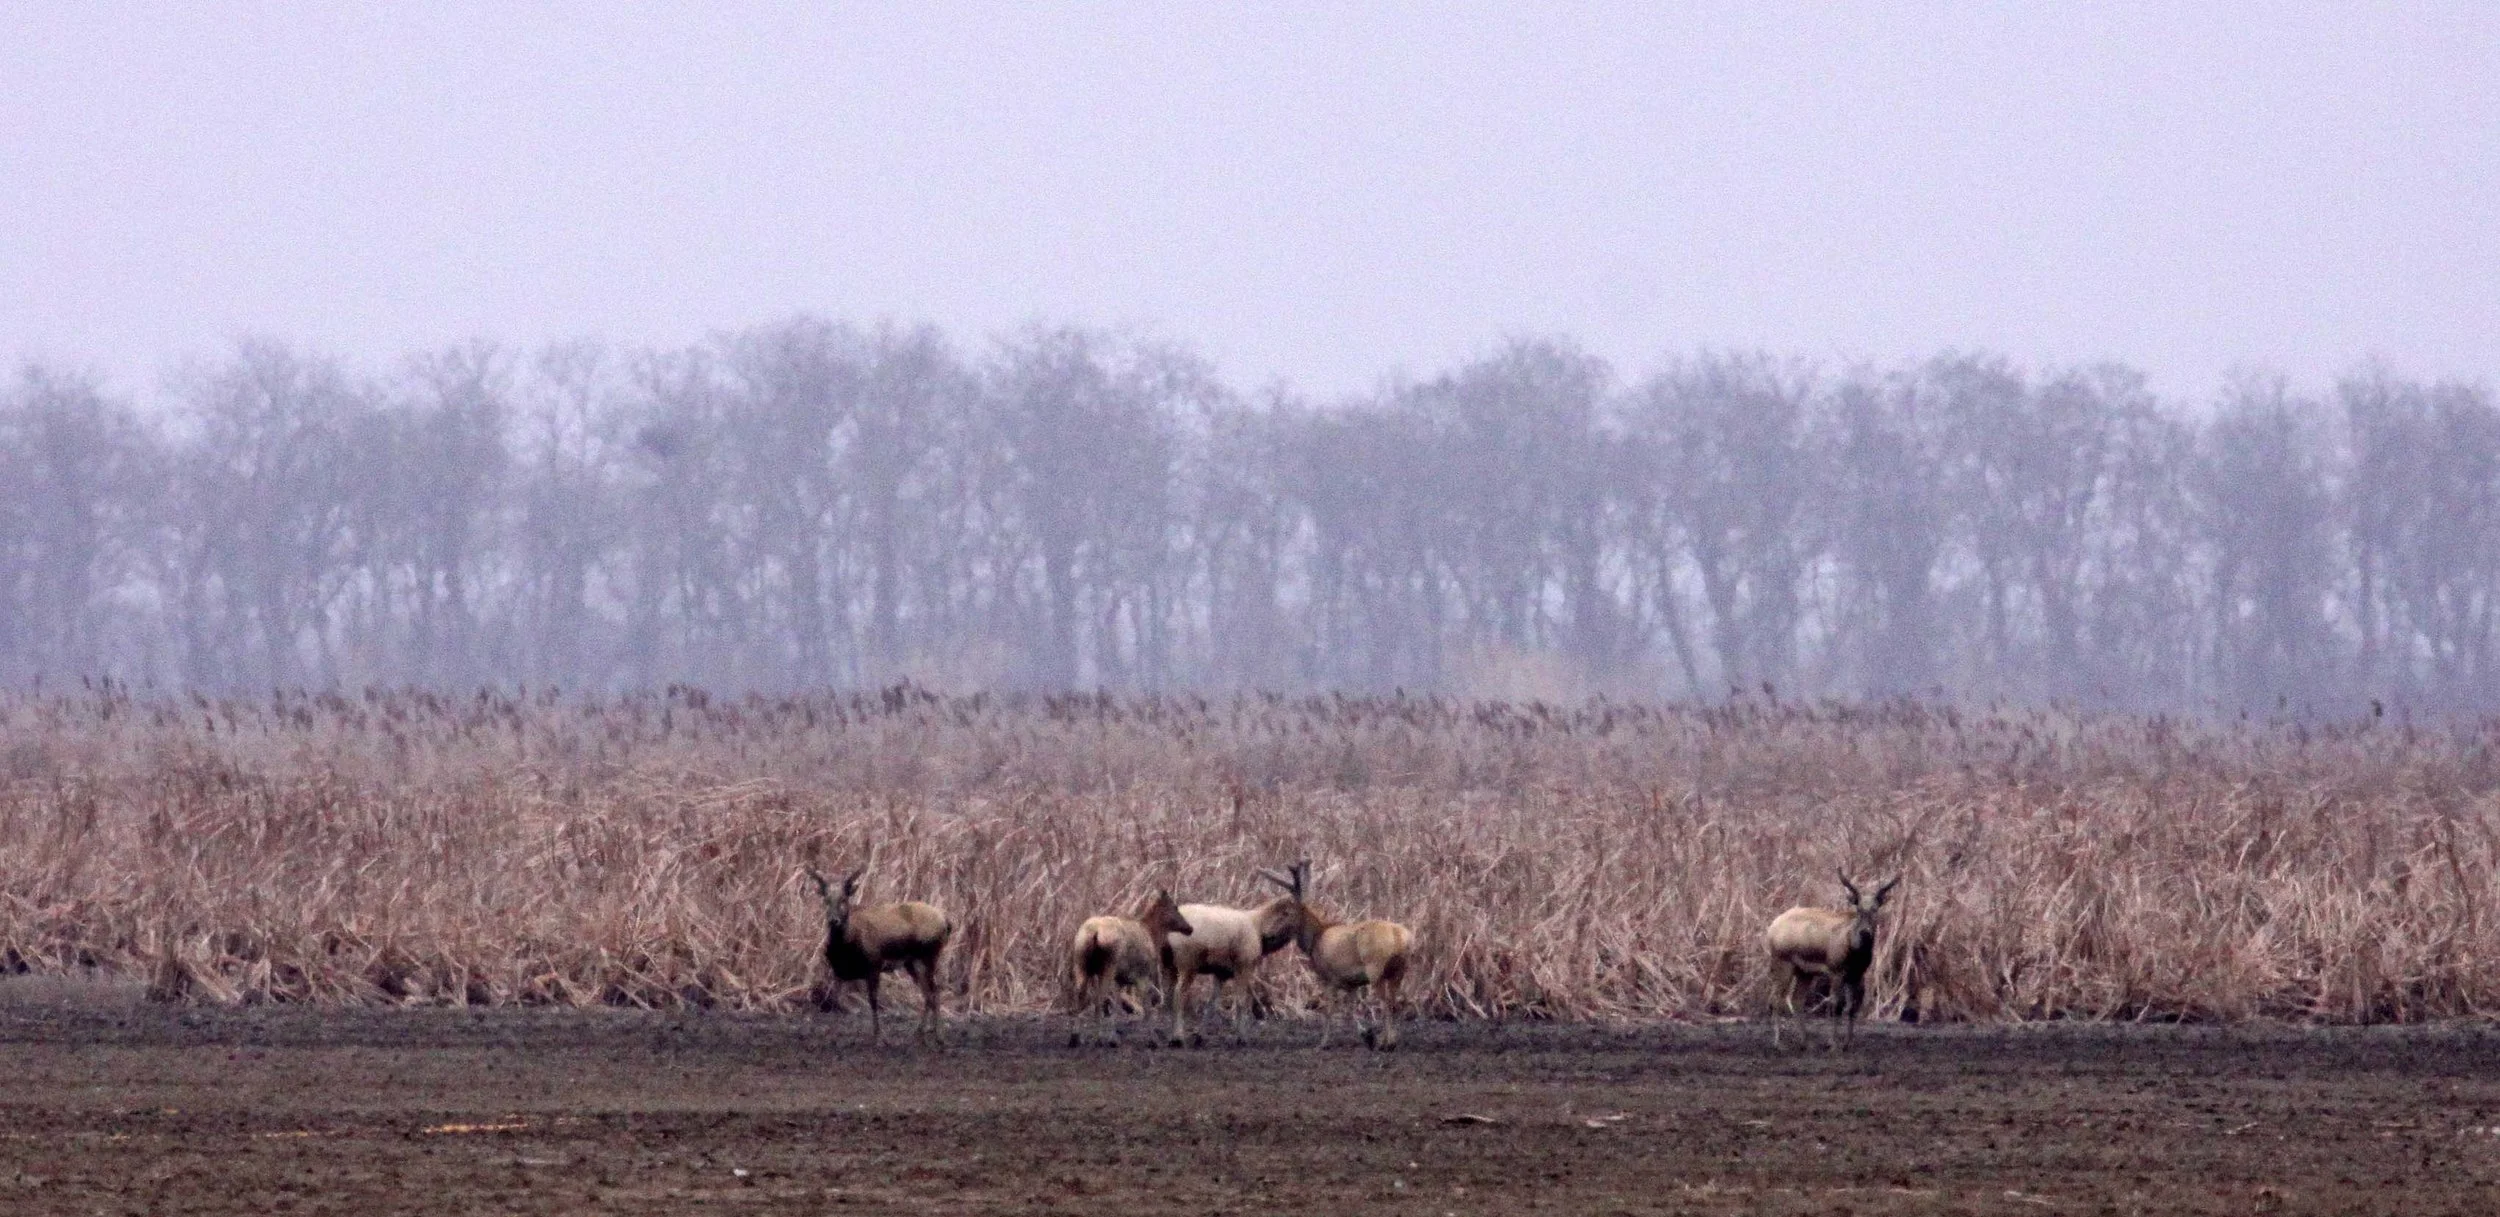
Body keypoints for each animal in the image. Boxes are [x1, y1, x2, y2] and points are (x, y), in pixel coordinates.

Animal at [805, 865, 952, 1044]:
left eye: (844, 900)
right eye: (826, 900)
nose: (834, 920)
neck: (846, 947)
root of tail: (946, 921)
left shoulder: (874, 963)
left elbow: (873, 1000)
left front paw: (879, 1037)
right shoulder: (838, 971)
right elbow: (835, 1002)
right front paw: (832, 1036)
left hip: (929, 955)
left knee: (934, 992)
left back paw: (937, 1035)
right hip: (912, 962)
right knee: (929, 993)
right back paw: (922, 1034)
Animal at [1068, 889, 1195, 1046]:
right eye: (1175, 907)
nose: (1189, 928)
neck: (1153, 936)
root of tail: (1094, 933)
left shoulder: (1121, 980)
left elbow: (1117, 1006)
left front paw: (1113, 1039)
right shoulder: (1141, 975)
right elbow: (1147, 1007)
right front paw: (1152, 1041)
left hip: (1080, 964)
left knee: (1079, 997)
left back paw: (1075, 1037)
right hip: (1108, 966)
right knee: (1099, 999)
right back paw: (1098, 1038)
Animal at [1256, 859, 1414, 1050]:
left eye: (1285, 913)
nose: (1267, 934)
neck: (1315, 940)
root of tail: (1399, 937)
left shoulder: (1329, 976)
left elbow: (1330, 1010)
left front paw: (1323, 1043)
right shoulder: (1352, 981)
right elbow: (1351, 1008)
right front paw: (1366, 1035)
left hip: (1375, 967)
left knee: (1385, 1002)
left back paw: (1387, 1043)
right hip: (1400, 969)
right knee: (1394, 1002)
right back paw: (1390, 1040)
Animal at [1765, 869, 1899, 1051]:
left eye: (1875, 909)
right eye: (1858, 909)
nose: (1865, 932)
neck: (1855, 953)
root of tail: (1771, 928)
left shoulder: (1857, 975)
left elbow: (1851, 1008)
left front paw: (1848, 1043)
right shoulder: (1836, 971)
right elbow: (1836, 1005)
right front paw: (1833, 1044)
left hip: (1805, 972)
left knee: (1796, 999)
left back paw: (1807, 1042)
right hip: (1782, 962)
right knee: (1775, 998)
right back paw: (1779, 1043)